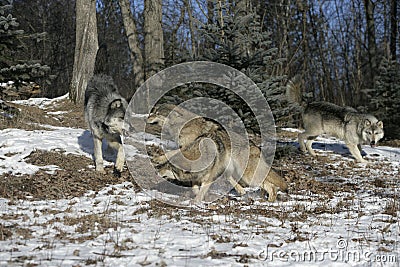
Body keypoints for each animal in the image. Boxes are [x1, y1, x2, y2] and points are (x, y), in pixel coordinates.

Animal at [147, 104, 288, 203]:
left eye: (156, 113)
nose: (147, 117)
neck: (181, 125)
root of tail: (256, 147)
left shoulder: (187, 146)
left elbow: (171, 153)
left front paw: (158, 159)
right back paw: (243, 192)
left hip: (248, 176)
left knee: (271, 185)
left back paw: (270, 200)